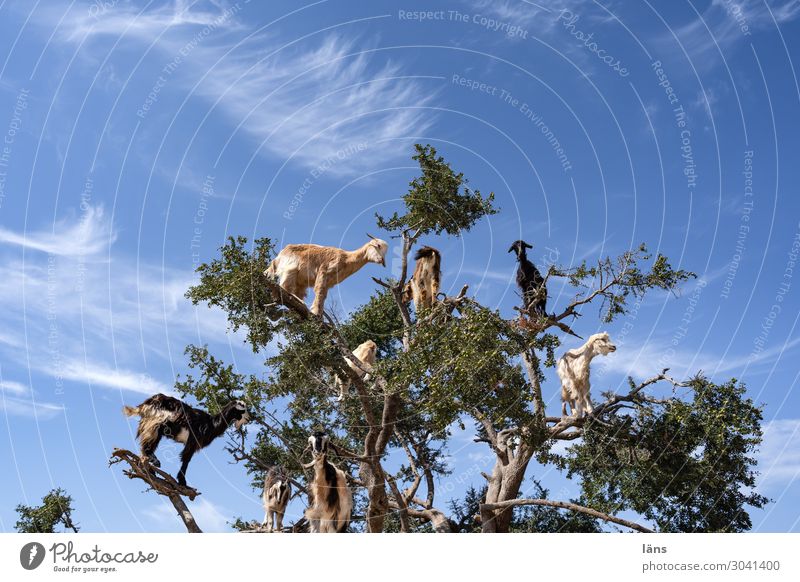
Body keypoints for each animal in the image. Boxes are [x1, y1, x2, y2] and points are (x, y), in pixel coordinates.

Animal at [122, 396, 250, 488]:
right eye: (243, 409)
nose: (249, 418)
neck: (211, 423)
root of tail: (146, 403)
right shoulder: (192, 441)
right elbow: (186, 459)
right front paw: (183, 482)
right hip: (155, 424)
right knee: (147, 446)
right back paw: (154, 463)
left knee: (145, 446)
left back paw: (149, 469)